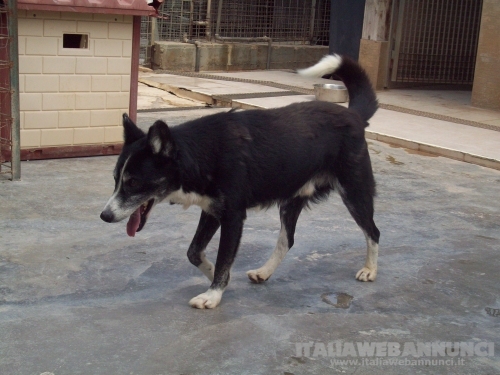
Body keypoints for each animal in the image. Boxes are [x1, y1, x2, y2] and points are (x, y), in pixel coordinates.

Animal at [102, 54, 382, 310]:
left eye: (133, 182)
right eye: (116, 179)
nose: (104, 216)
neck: (201, 152)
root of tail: (353, 114)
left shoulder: (233, 217)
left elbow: (223, 257)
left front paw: (213, 294)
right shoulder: (212, 211)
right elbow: (194, 252)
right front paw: (215, 275)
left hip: (354, 191)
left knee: (373, 231)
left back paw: (370, 270)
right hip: (291, 200)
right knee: (287, 240)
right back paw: (265, 272)